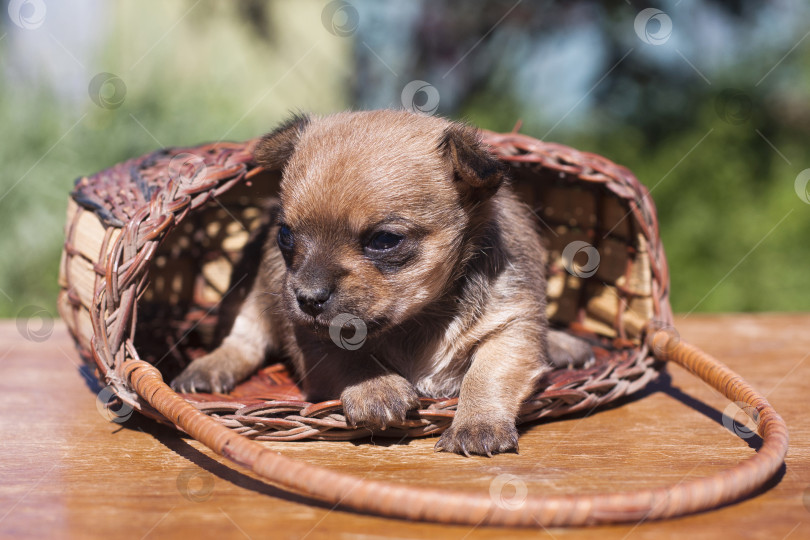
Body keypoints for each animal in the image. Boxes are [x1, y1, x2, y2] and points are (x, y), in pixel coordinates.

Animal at [172, 110, 588, 456]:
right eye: (285, 236)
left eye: (385, 240)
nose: (307, 298)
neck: (420, 319)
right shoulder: (311, 336)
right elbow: (345, 355)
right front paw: (376, 387)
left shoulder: (511, 325)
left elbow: (487, 374)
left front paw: (477, 425)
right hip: (254, 299)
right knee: (243, 340)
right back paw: (206, 369)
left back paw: (564, 345)